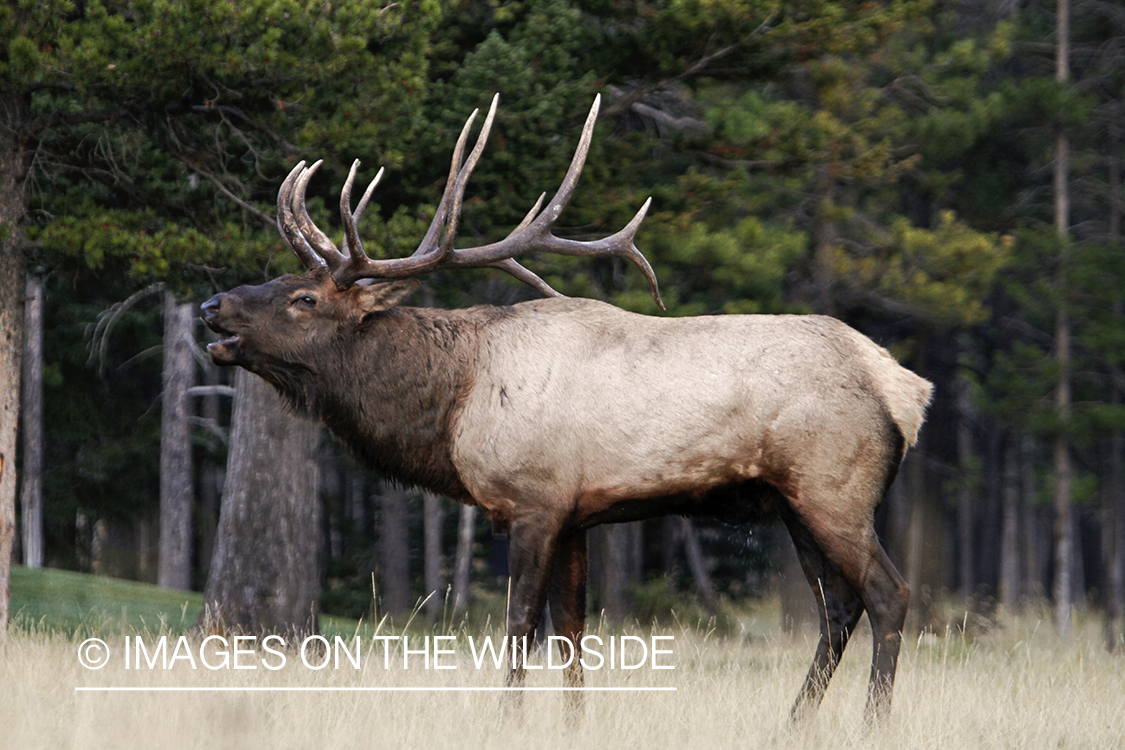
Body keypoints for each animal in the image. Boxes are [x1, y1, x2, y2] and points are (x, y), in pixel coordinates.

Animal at [200, 93, 931, 719]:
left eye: (304, 299)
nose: (212, 305)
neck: (451, 406)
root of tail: (906, 390)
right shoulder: (577, 515)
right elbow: (572, 631)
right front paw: (574, 721)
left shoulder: (532, 500)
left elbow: (520, 623)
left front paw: (508, 718)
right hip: (792, 504)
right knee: (837, 608)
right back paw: (793, 722)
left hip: (833, 487)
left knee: (888, 595)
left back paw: (871, 722)